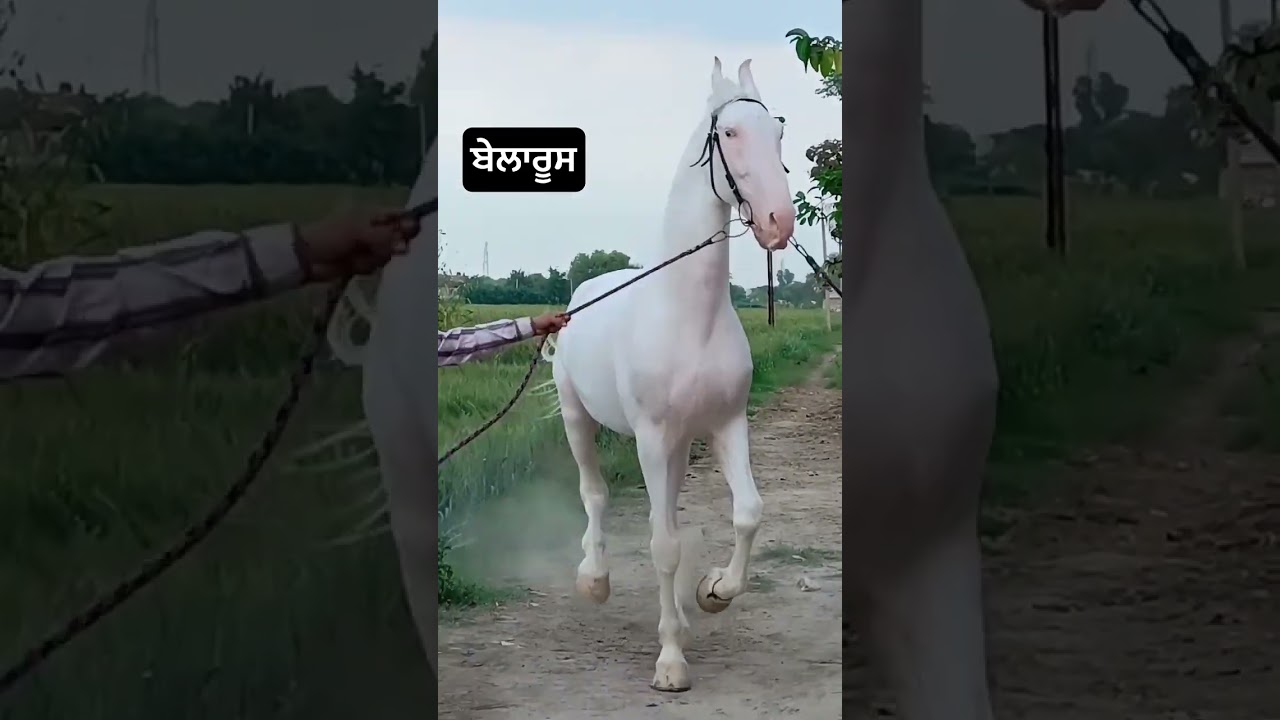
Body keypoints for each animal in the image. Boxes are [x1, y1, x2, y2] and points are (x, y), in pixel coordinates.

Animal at [540, 57, 795, 692]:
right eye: (729, 132)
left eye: (778, 132)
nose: (778, 221)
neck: (689, 317)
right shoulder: (651, 438)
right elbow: (661, 545)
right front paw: (671, 662)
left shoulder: (727, 425)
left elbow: (747, 513)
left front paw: (713, 592)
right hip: (581, 420)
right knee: (595, 493)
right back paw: (595, 578)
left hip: (678, 445)